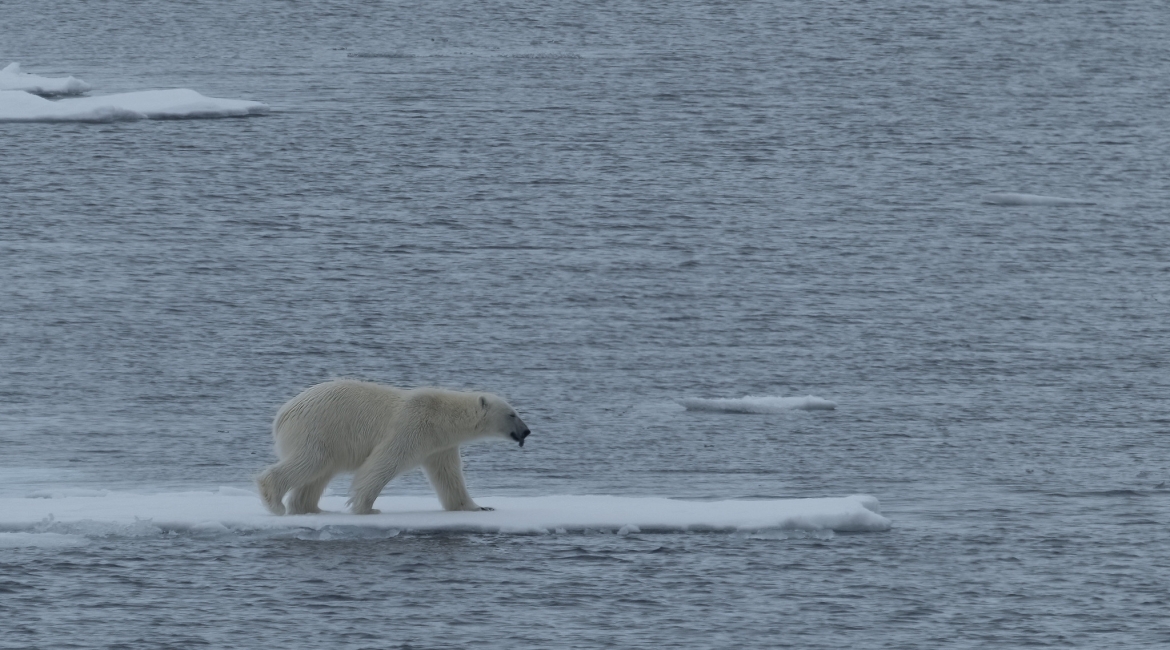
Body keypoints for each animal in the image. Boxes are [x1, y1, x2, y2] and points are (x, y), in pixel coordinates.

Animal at [258, 381, 533, 512]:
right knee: (309, 462)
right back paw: (275, 502)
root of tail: (282, 414)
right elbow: (384, 462)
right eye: (512, 414)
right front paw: (366, 508)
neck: (441, 417)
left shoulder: (440, 446)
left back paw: (310, 508)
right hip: (318, 430)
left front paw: (479, 506)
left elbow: (449, 476)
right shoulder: (413, 425)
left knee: (318, 475)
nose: (526, 431)